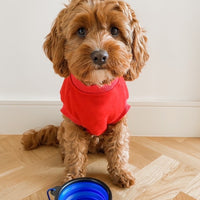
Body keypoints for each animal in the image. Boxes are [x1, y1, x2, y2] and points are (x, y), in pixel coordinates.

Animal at [21, 0, 148, 188]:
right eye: (81, 31)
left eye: (115, 30)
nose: (100, 56)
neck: (96, 87)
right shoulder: (73, 123)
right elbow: (75, 152)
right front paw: (73, 176)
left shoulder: (118, 121)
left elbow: (119, 148)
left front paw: (121, 173)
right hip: (64, 127)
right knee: (66, 145)